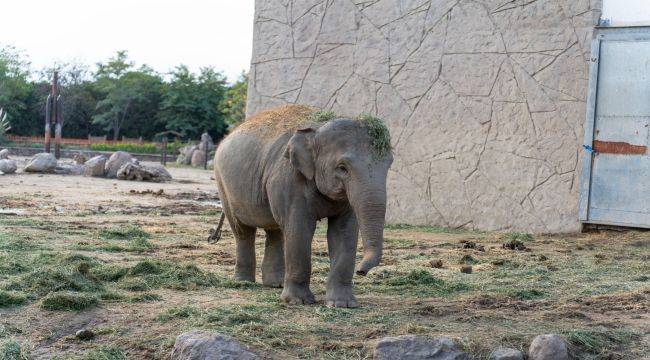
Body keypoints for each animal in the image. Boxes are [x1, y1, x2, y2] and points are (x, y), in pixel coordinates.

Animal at [215, 105, 392, 308]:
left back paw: (275, 284)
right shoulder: (290, 178)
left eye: (389, 165)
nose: (361, 272)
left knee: (275, 231)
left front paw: (342, 304)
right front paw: (298, 301)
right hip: (224, 186)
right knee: (243, 231)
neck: (318, 126)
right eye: (342, 168)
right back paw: (244, 282)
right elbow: (300, 227)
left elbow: (344, 232)